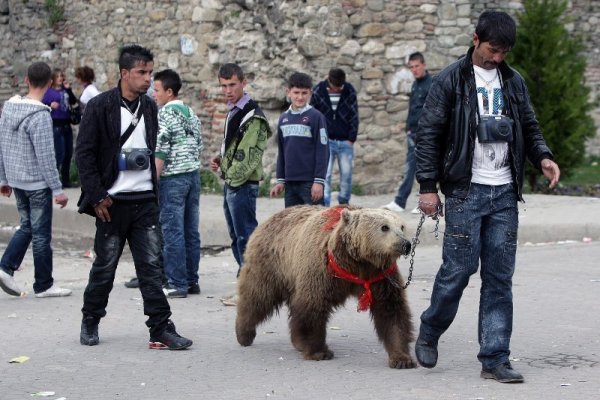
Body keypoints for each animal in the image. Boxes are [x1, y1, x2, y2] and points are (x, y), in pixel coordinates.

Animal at [236, 206, 418, 368]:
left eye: (402, 226)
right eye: (384, 227)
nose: (405, 244)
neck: (356, 263)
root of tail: (269, 219)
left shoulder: (380, 277)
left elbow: (391, 310)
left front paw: (402, 359)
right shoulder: (323, 271)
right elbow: (313, 307)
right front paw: (319, 352)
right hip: (271, 263)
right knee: (258, 296)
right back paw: (244, 333)